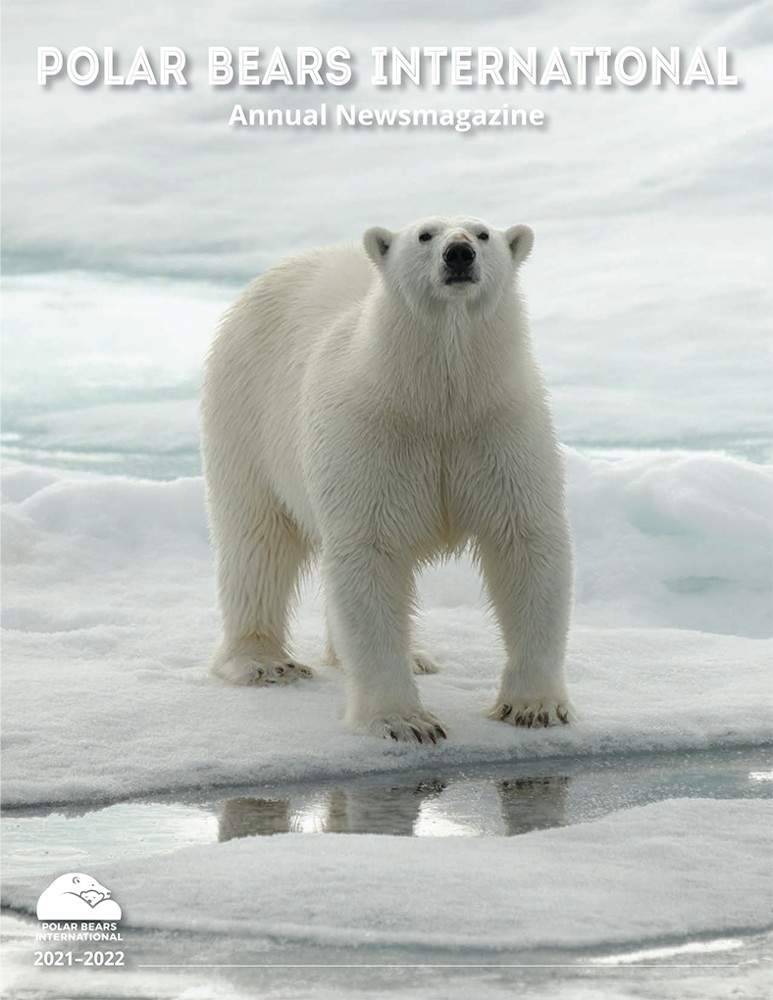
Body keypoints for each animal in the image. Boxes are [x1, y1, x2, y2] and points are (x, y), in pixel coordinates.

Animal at [200, 215, 573, 743]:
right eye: (425, 234)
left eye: (482, 233)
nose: (459, 254)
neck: (435, 402)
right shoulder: (371, 434)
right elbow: (369, 552)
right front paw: (404, 721)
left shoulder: (499, 427)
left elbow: (526, 544)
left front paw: (535, 707)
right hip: (245, 412)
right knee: (257, 539)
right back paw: (263, 661)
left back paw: (414, 656)